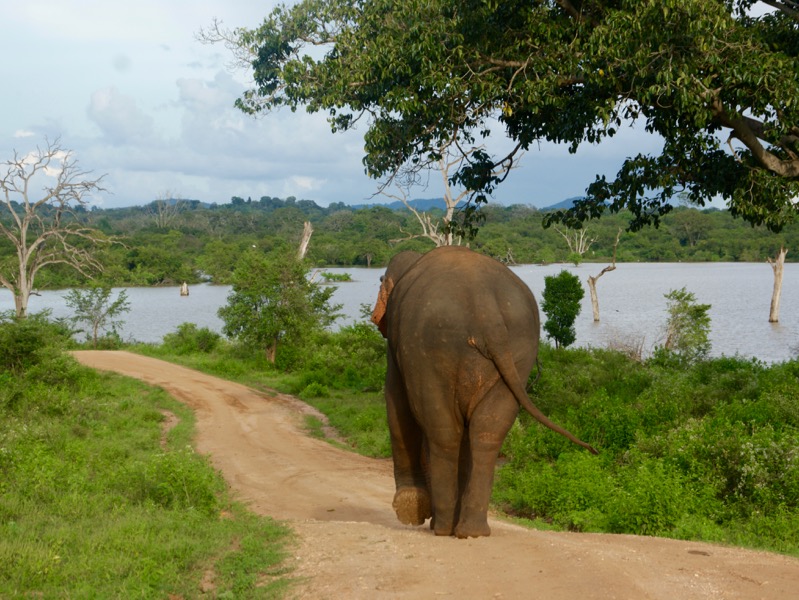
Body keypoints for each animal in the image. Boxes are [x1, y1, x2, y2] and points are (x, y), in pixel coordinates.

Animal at [372, 246, 596, 536]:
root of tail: (485, 307)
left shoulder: (399, 342)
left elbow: (395, 398)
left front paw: (412, 511)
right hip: (519, 345)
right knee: (488, 429)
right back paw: (471, 530)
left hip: (428, 347)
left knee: (443, 429)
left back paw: (444, 528)